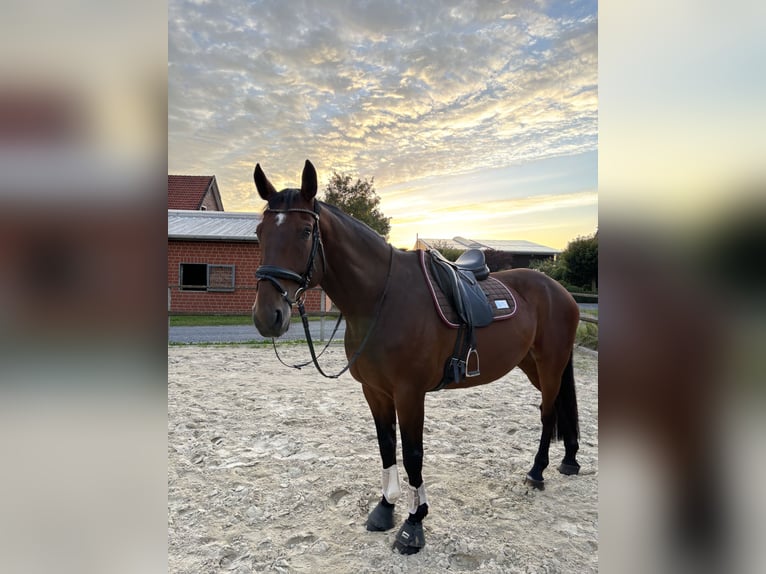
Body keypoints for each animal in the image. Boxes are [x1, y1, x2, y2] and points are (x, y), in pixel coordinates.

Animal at [252, 160, 584, 556]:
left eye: (305, 232)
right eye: (259, 232)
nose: (267, 316)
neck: (381, 298)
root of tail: (560, 291)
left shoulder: (410, 393)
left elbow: (413, 454)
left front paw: (414, 524)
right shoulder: (375, 391)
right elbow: (386, 445)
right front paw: (385, 508)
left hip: (550, 363)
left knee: (548, 412)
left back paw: (537, 471)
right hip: (531, 364)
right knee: (557, 408)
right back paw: (568, 460)